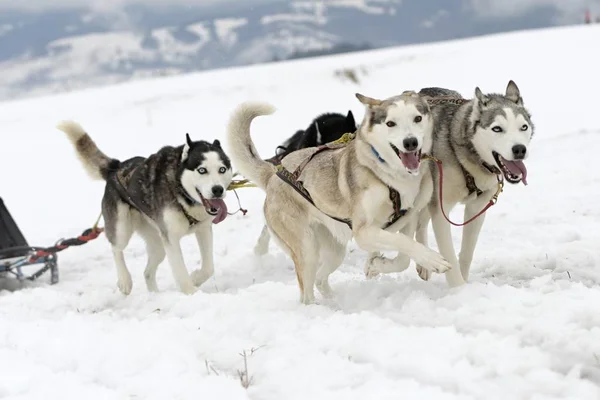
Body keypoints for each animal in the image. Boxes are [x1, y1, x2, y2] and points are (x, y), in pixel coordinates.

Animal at [58, 122, 232, 296]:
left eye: (222, 169)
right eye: (202, 170)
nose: (218, 190)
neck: (181, 192)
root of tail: (116, 168)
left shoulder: (203, 229)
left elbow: (208, 268)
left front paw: (195, 277)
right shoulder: (171, 238)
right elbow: (180, 272)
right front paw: (191, 292)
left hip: (158, 244)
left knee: (147, 272)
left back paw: (155, 294)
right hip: (122, 229)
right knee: (116, 248)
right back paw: (125, 280)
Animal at [366, 80, 536, 288]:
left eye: (523, 127)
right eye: (497, 128)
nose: (520, 149)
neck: (467, 157)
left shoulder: (476, 209)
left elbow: (466, 253)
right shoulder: (440, 209)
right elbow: (445, 255)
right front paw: (458, 289)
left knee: (420, 225)